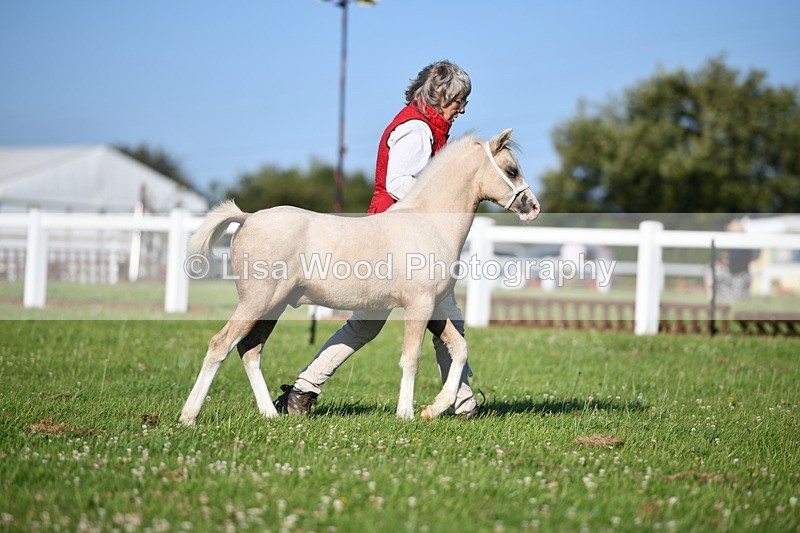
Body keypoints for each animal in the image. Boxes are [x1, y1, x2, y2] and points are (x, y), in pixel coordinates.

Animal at [179, 128, 540, 424]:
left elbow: (459, 349)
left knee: (250, 351)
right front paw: (407, 413)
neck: (428, 223)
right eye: (511, 169)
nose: (533, 207)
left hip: (273, 307)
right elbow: (412, 358)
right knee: (221, 345)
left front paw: (434, 408)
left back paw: (271, 414)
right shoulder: (419, 306)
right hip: (256, 303)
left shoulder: (435, 307)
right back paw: (189, 416)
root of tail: (247, 218)